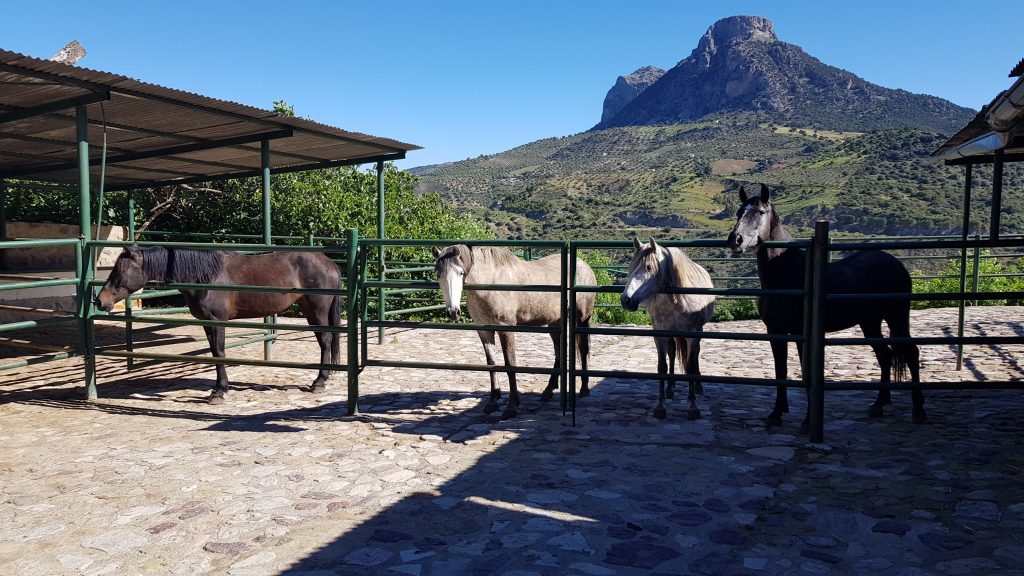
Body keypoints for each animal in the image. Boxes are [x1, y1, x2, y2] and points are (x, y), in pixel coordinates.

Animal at [94, 245, 341, 404]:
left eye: (122, 271)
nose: (100, 301)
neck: (205, 277)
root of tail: (329, 263)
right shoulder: (206, 322)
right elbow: (214, 353)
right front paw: (219, 388)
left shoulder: (217, 321)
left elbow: (221, 353)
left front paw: (219, 392)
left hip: (317, 312)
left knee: (325, 341)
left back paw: (319, 381)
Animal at [431, 245, 596, 419]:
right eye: (438, 274)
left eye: (460, 272)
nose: (453, 312)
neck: (489, 281)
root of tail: (585, 265)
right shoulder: (484, 330)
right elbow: (492, 364)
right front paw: (493, 402)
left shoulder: (506, 329)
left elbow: (510, 365)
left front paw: (512, 406)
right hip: (555, 322)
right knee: (559, 351)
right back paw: (548, 390)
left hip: (582, 318)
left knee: (583, 348)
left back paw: (584, 389)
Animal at [620, 238, 716, 420]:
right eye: (631, 267)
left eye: (649, 267)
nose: (626, 300)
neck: (679, 300)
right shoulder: (660, 335)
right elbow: (662, 367)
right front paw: (660, 405)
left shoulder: (693, 334)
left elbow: (690, 366)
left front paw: (692, 406)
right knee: (672, 353)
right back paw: (670, 387)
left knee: (695, 355)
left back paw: (698, 386)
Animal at [726, 184, 924, 431]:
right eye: (738, 212)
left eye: (761, 212)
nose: (736, 240)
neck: (789, 275)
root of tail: (896, 264)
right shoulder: (775, 332)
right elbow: (780, 370)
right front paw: (776, 414)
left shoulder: (802, 334)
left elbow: (807, 372)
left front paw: (806, 421)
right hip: (870, 323)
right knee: (885, 356)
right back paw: (879, 404)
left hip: (897, 317)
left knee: (911, 353)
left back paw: (918, 409)